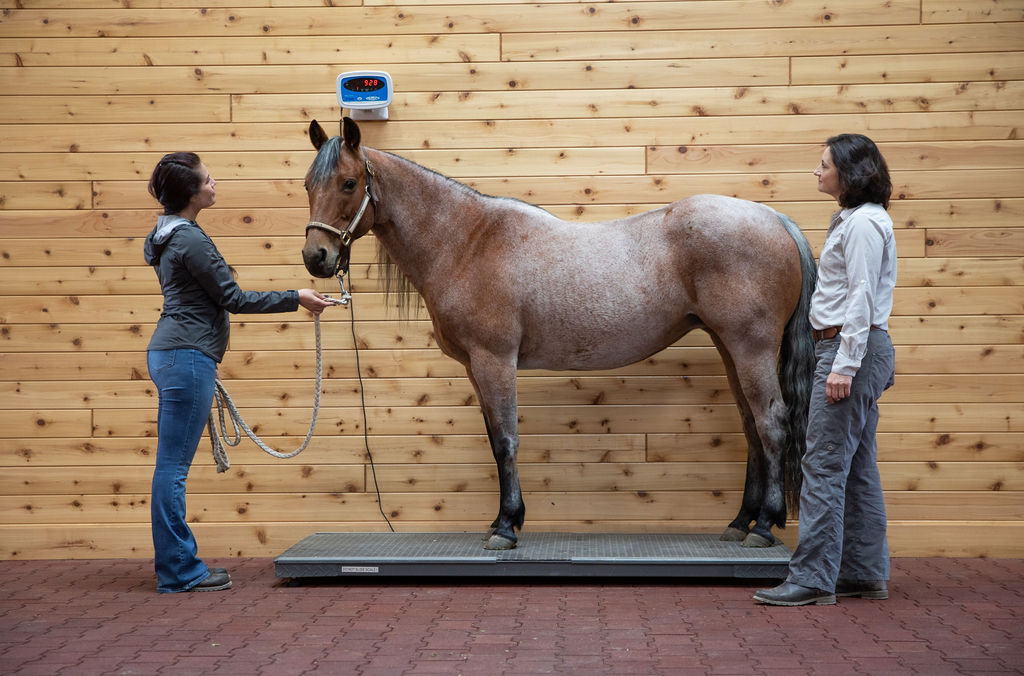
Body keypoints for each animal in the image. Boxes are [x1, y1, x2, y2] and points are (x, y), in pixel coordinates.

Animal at [299, 117, 815, 548]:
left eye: (349, 183)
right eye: (308, 184)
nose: (316, 257)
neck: (466, 242)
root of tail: (775, 219)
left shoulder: (494, 360)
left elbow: (505, 440)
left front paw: (507, 527)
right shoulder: (475, 368)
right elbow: (495, 439)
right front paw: (501, 519)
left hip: (750, 348)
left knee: (771, 422)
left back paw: (763, 526)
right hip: (730, 347)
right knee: (752, 426)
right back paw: (740, 522)